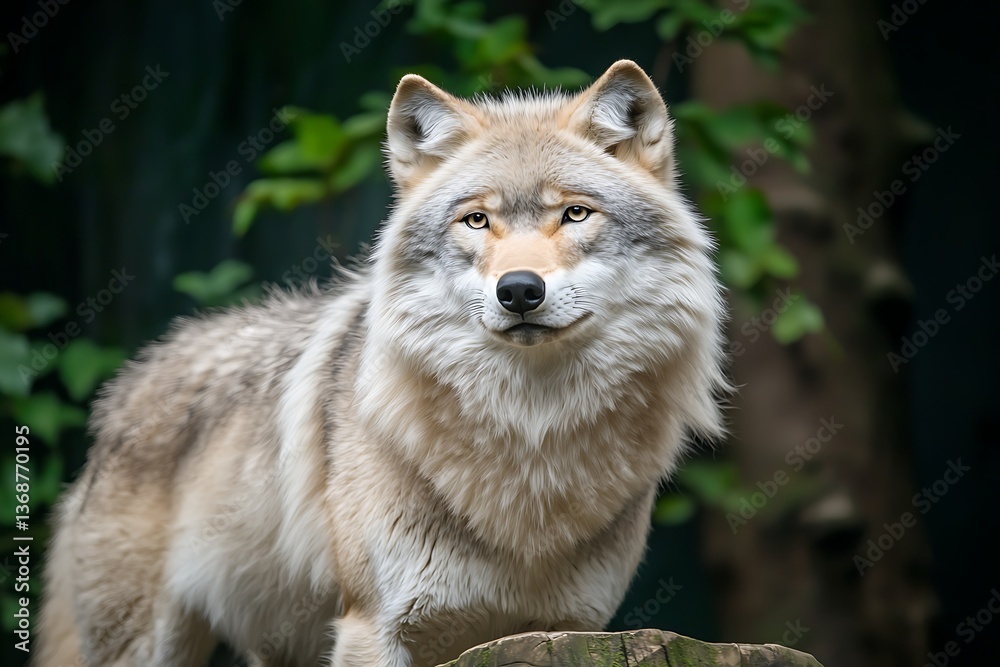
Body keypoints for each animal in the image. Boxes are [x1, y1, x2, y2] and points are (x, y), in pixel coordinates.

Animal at [36, 60, 728, 667]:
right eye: (476, 220)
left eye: (575, 213)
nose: (519, 291)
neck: (529, 448)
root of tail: (128, 386)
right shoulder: (373, 625)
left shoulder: (568, 631)